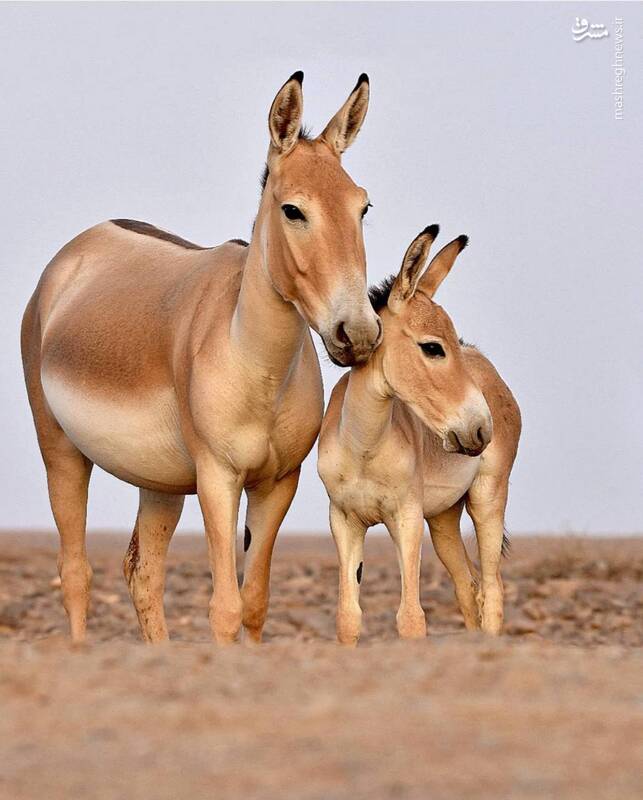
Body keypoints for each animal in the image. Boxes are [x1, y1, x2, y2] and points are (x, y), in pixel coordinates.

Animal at [21, 73, 382, 644]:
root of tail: (82, 244)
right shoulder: (217, 478)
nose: (360, 333)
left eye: (362, 207)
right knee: (75, 572)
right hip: (59, 447)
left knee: (143, 573)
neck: (258, 368)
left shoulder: (279, 484)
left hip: (159, 481)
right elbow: (225, 608)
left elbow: (254, 603)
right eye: (293, 210)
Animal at [320, 225, 520, 644]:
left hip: (488, 497)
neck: (363, 449)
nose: (482, 428)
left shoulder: (406, 516)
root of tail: (485, 364)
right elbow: (348, 617)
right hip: (443, 517)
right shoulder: (344, 520)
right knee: (468, 587)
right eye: (432, 347)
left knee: (492, 588)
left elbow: (411, 618)